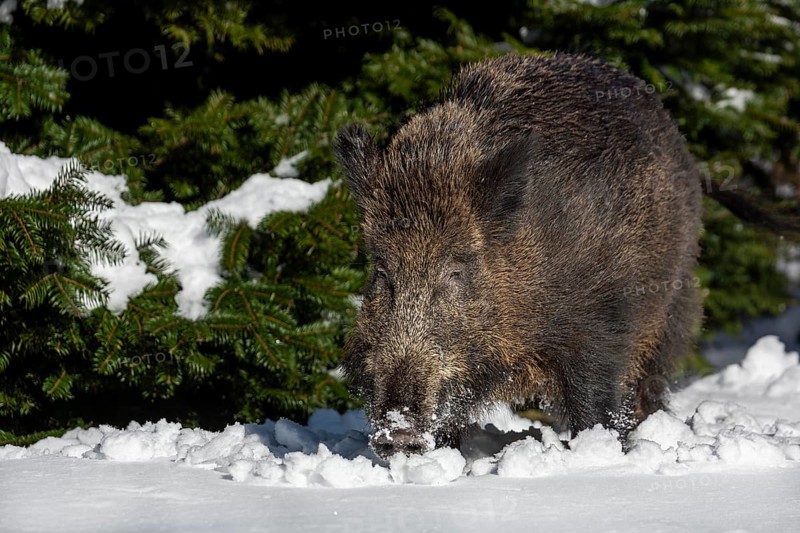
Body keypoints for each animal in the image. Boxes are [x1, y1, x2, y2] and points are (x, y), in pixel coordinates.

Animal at [333, 53, 703, 458]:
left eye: (455, 271)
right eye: (382, 272)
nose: (398, 433)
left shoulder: (601, 323)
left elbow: (595, 402)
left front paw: (597, 450)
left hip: (673, 305)